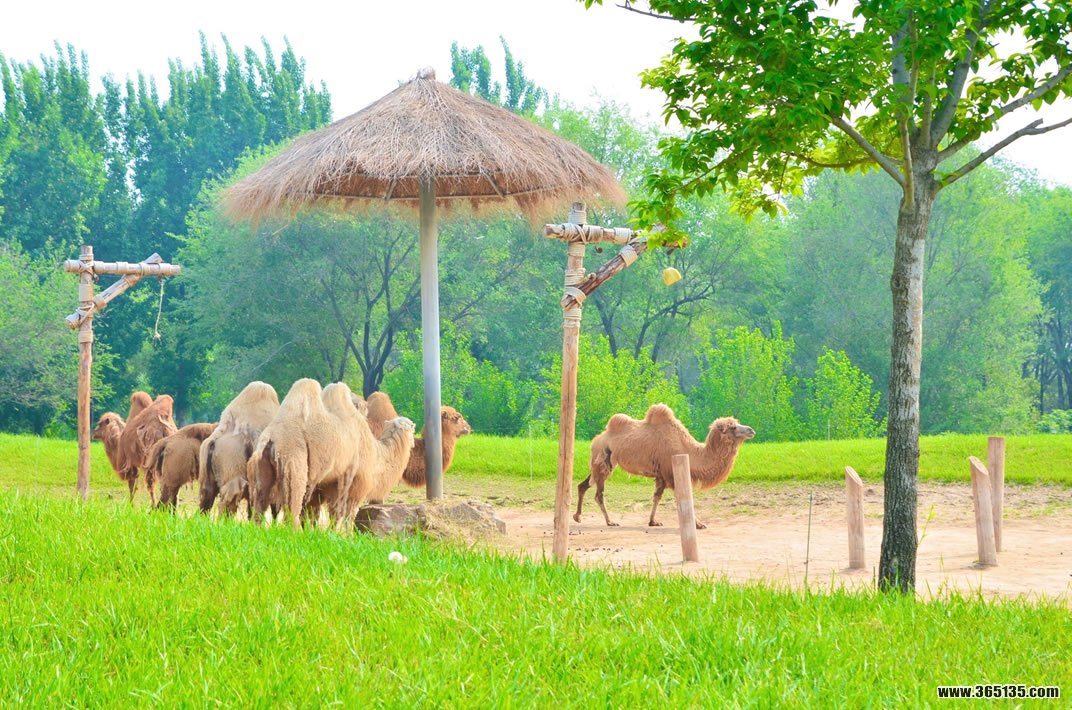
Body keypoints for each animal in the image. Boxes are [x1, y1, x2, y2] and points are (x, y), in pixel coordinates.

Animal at [575, 404, 755, 529]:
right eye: (733, 427)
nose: (751, 430)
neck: (688, 450)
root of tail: (596, 439)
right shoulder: (671, 474)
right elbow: (681, 497)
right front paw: (698, 524)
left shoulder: (661, 475)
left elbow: (657, 497)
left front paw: (653, 521)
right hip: (603, 460)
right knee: (598, 494)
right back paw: (610, 521)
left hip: (603, 463)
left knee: (584, 484)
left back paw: (577, 517)